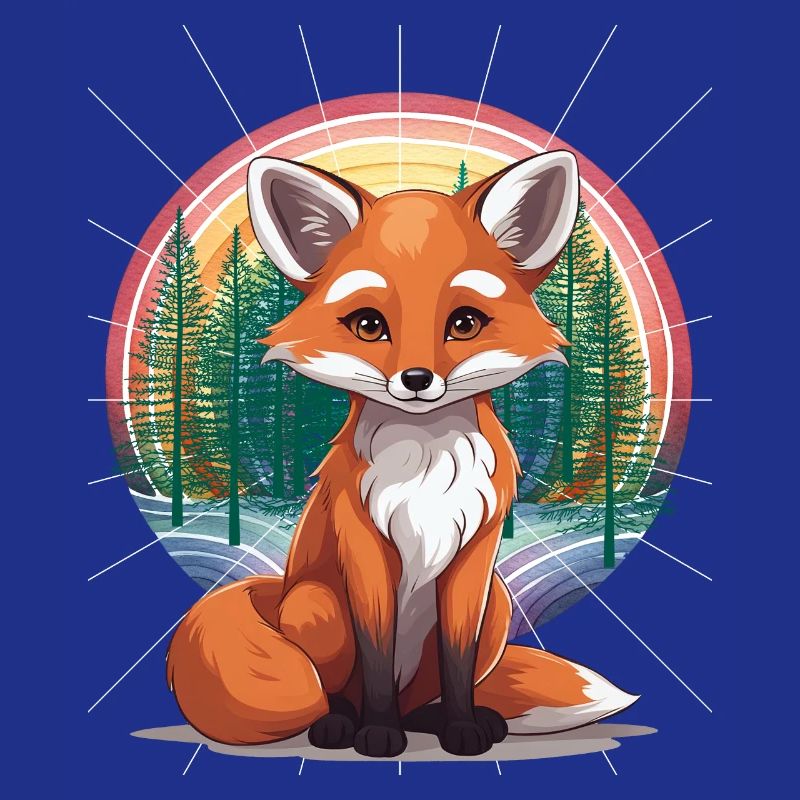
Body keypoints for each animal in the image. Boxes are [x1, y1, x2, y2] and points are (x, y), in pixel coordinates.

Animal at [166, 151, 638, 758]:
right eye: (369, 325)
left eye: (464, 323)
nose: (416, 380)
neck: (426, 468)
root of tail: (278, 591)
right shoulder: (365, 549)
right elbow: (376, 651)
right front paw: (377, 732)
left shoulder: (474, 560)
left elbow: (458, 660)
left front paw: (461, 727)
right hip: (317, 607)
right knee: (339, 688)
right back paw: (341, 723)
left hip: (498, 605)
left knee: (425, 696)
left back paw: (439, 721)